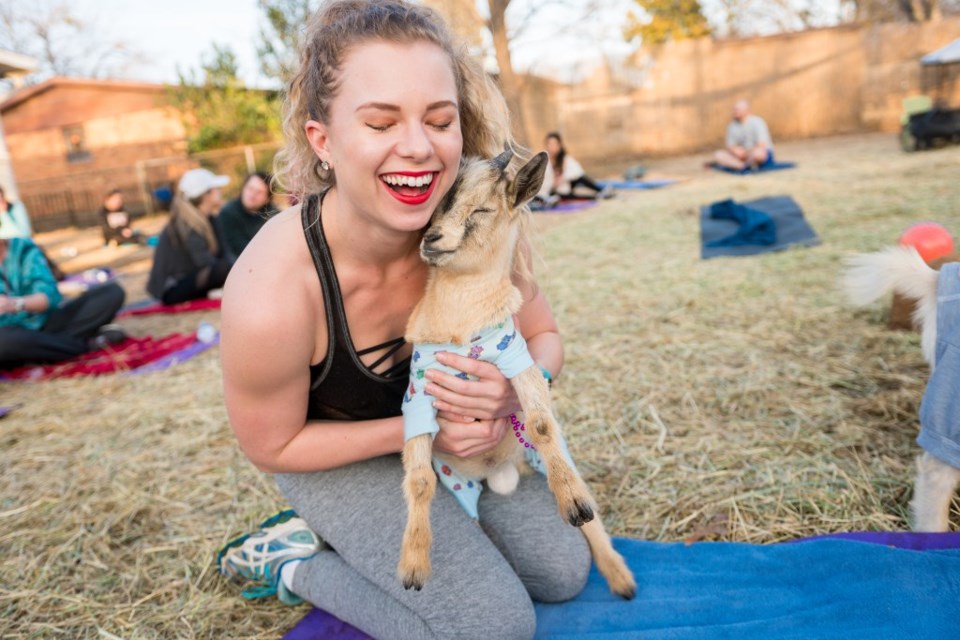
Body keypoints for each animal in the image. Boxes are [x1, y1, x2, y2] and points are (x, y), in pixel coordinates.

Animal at [398, 150, 636, 600]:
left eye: (482, 209)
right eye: (436, 205)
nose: (431, 239)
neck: (460, 326)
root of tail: (498, 474)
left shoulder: (517, 361)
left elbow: (541, 424)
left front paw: (573, 506)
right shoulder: (418, 392)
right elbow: (419, 479)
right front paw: (413, 568)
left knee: (590, 513)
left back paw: (619, 577)